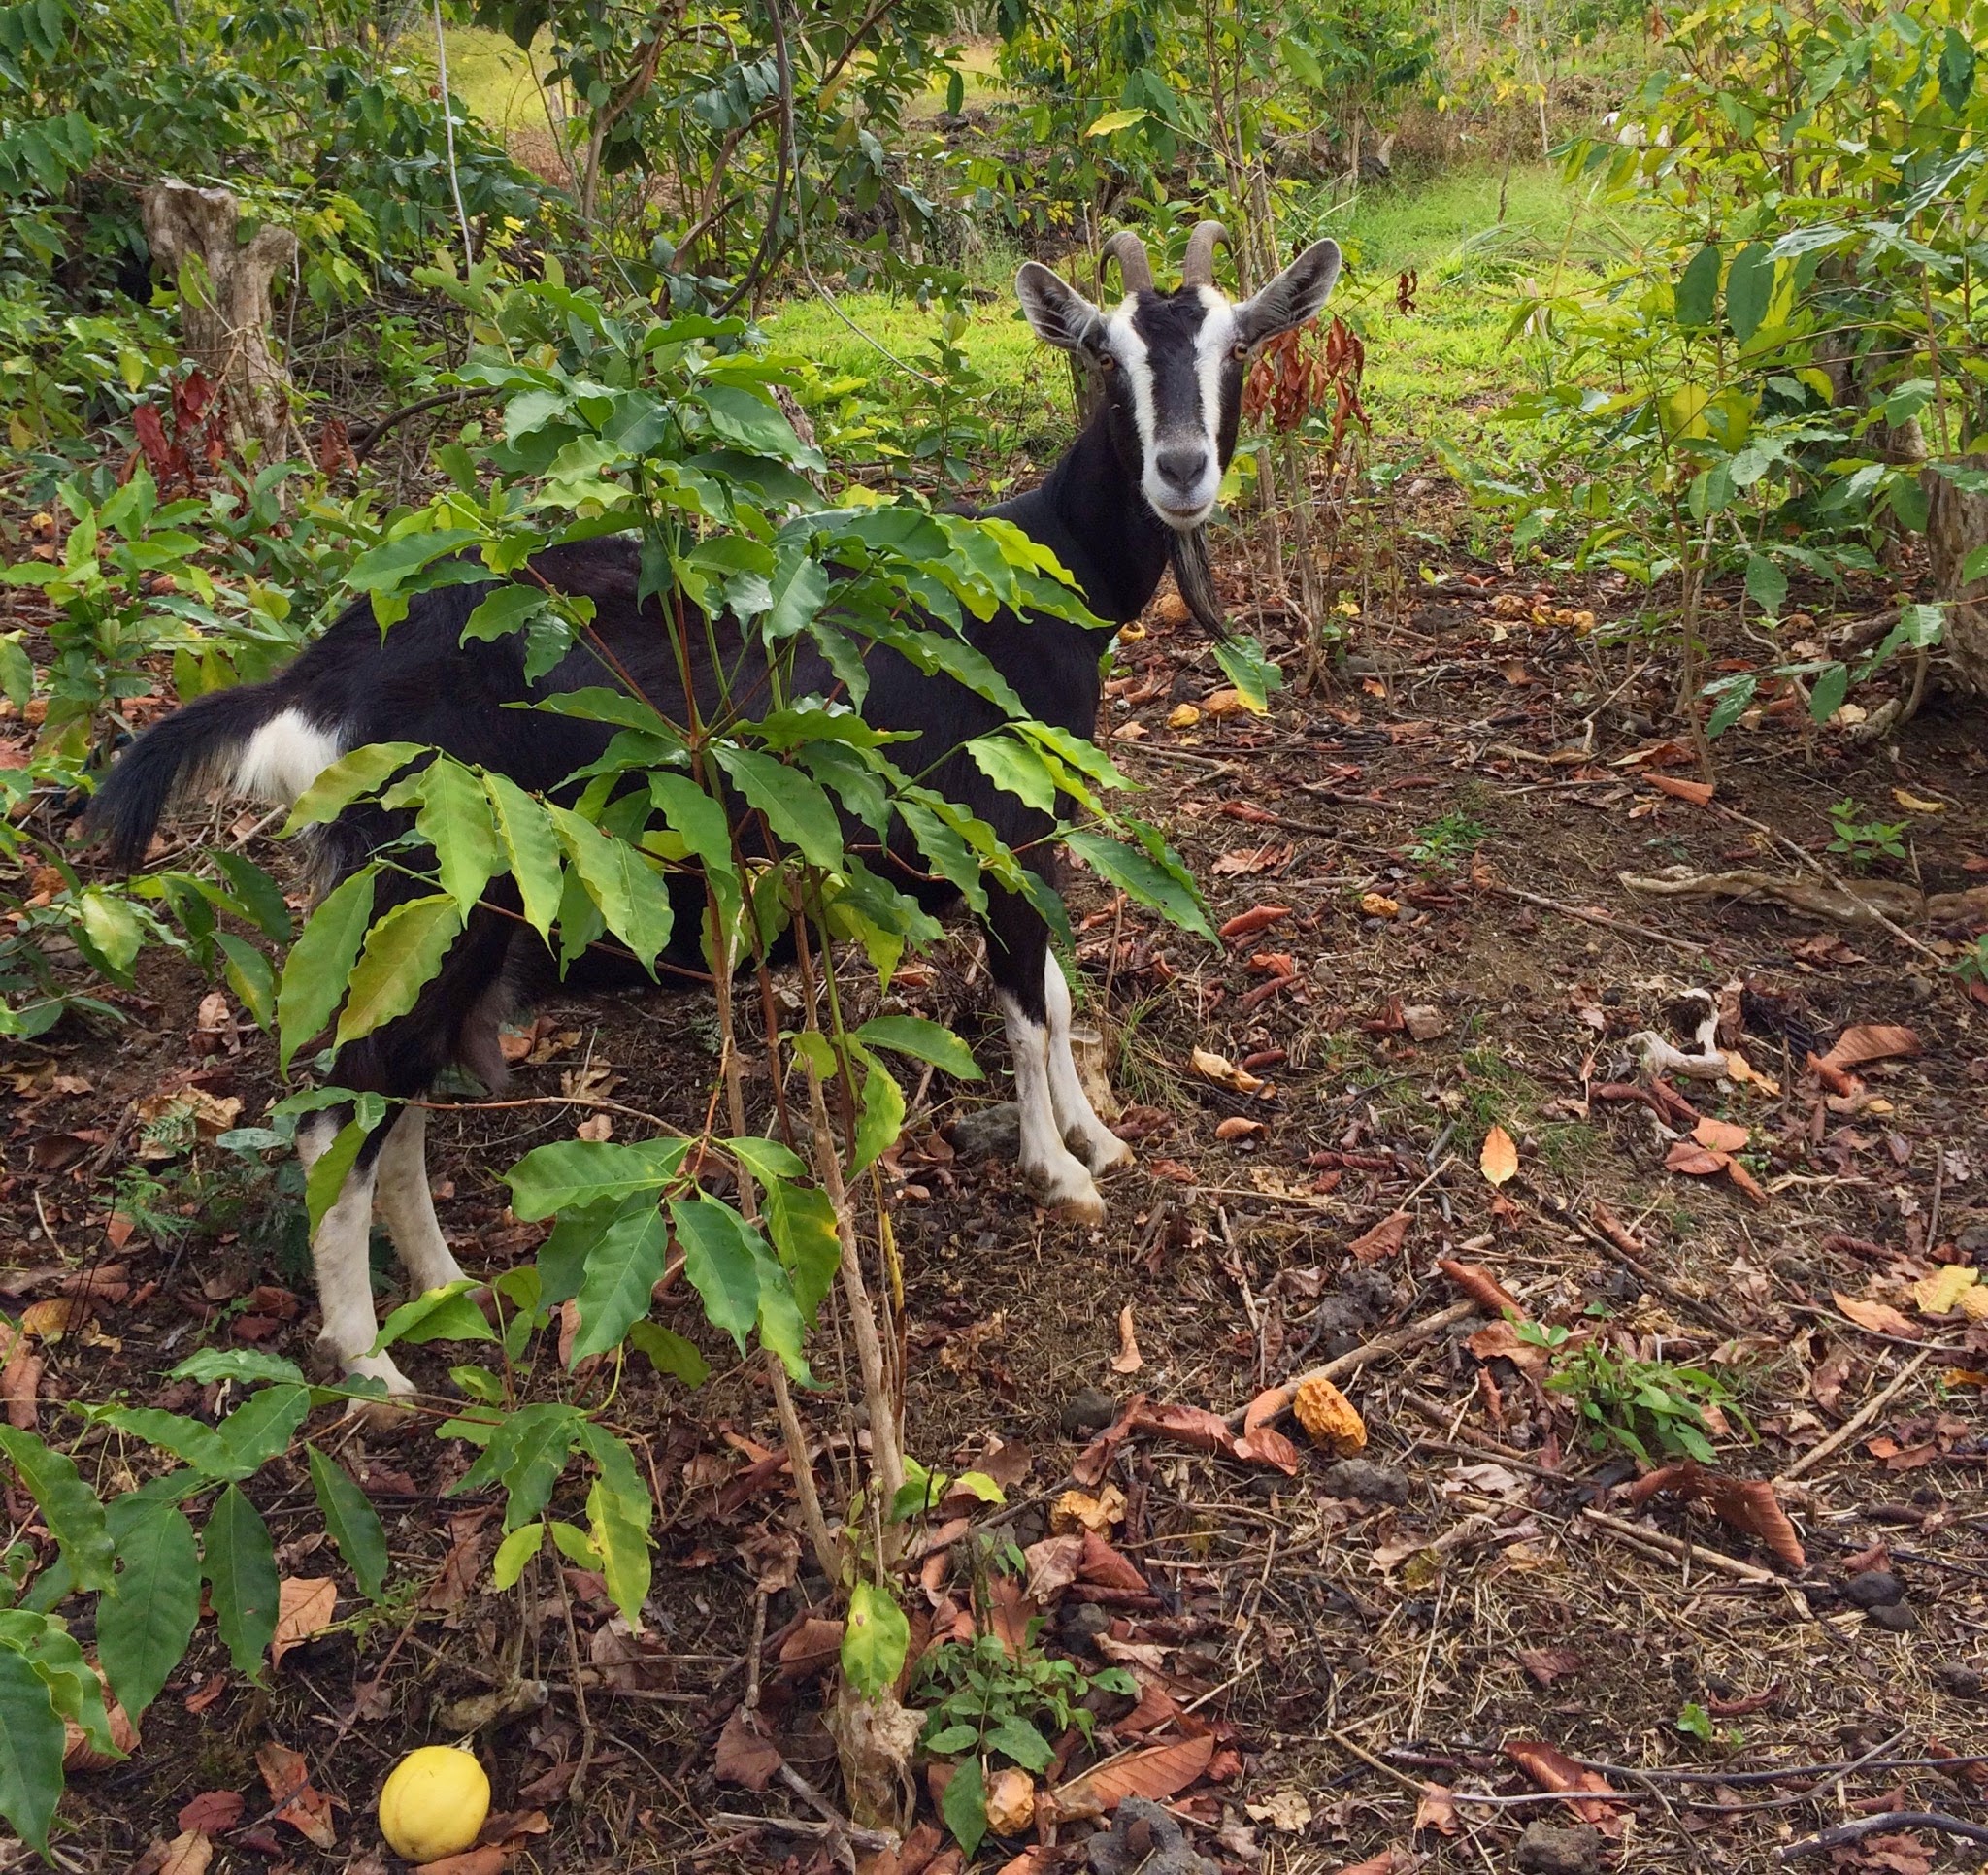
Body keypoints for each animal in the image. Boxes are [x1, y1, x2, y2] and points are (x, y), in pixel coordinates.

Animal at [89, 223, 1343, 1394]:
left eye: (1236, 345)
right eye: (1102, 353)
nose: (1180, 470)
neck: (1040, 582)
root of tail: (319, 686)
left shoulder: (1019, 847)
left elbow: (1058, 996)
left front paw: (1095, 1135)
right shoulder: (999, 830)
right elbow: (1029, 1009)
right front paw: (1060, 1173)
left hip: (439, 924)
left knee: (396, 1107)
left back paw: (448, 1290)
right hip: (421, 885)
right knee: (331, 1121)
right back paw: (371, 1367)